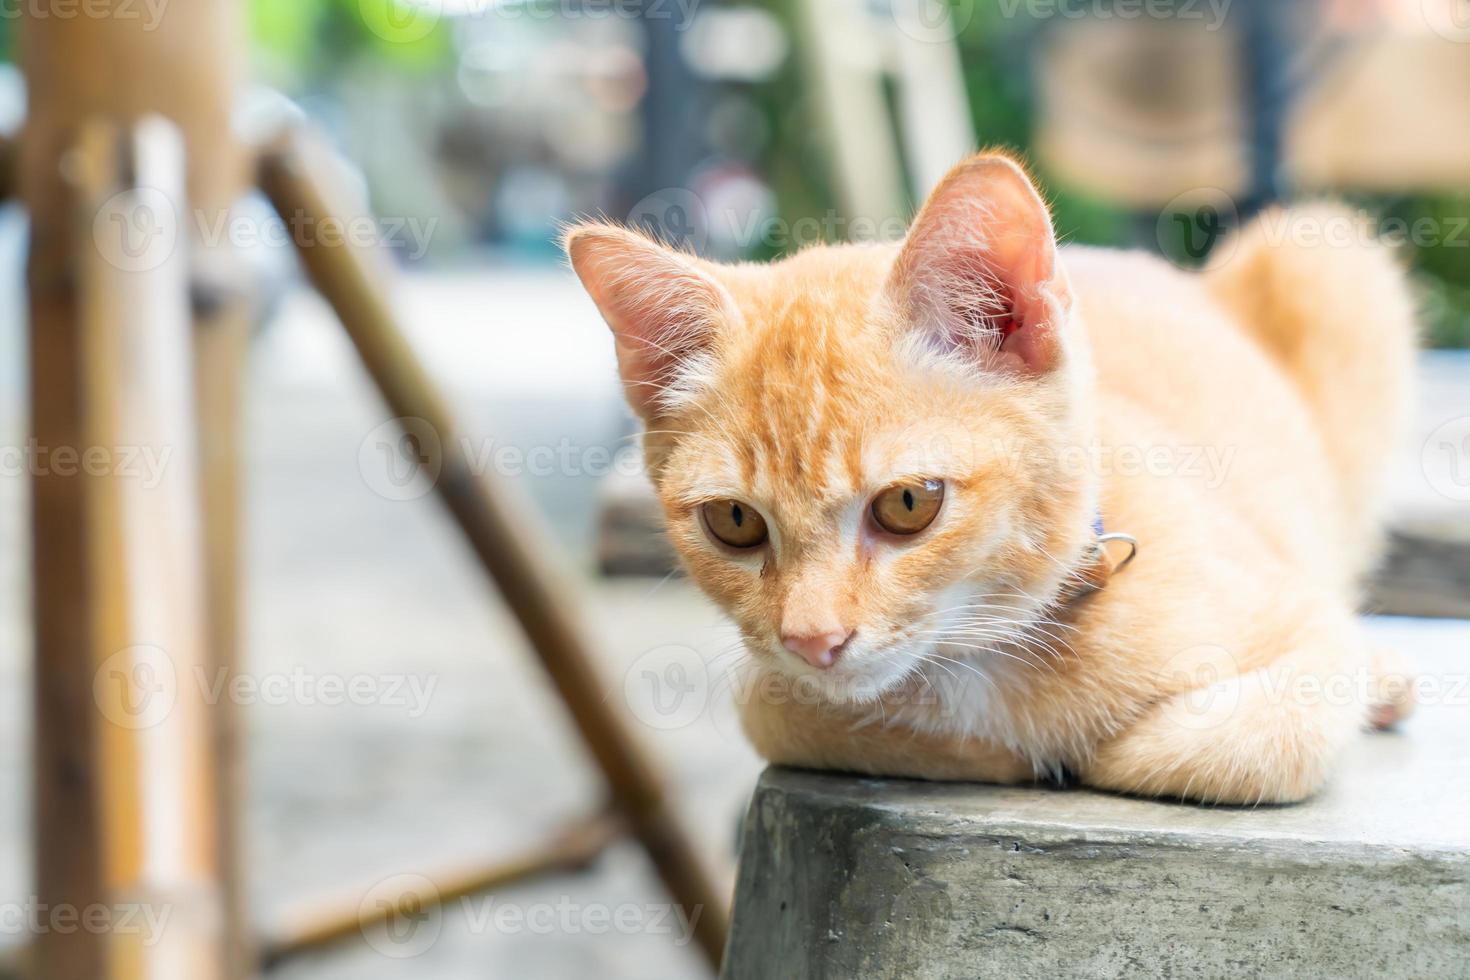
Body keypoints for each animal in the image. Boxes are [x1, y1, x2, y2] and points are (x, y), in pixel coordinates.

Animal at [561, 155, 1411, 805]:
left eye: (909, 503)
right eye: (733, 522)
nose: (813, 640)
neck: (987, 654)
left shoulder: (1305, 620)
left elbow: (1262, 735)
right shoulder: (768, 687)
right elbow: (794, 713)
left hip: (1328, 257)